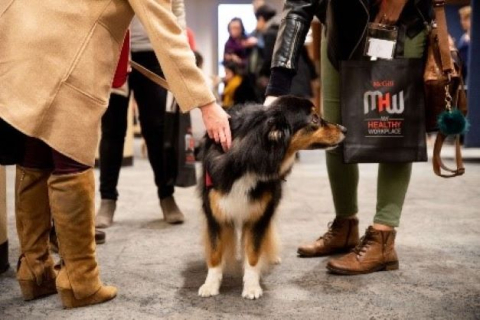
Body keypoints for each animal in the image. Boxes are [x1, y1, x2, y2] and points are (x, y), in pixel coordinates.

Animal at [198, 95, 344, 300]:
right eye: (315, 119)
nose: (344, 129)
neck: (251, 157)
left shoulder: (259, 214)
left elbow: (253, 253)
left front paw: (252, 286)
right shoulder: (215, 211)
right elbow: (215, 251)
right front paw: (210, 285)